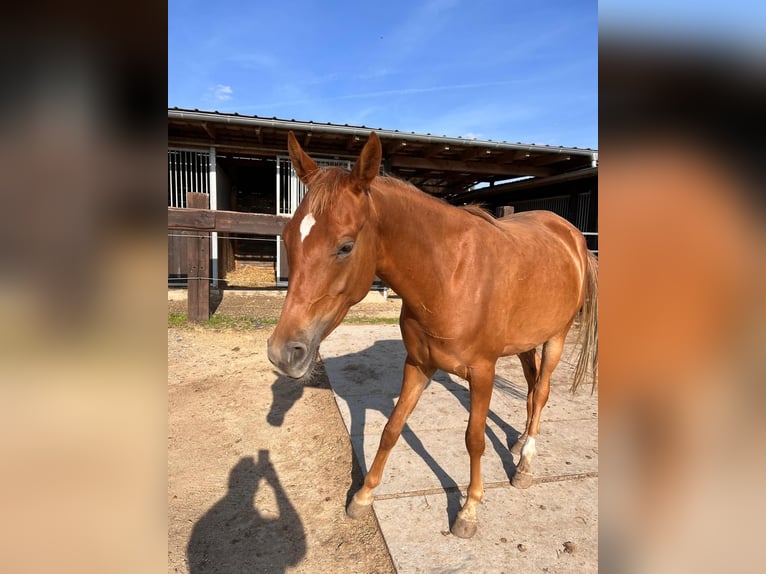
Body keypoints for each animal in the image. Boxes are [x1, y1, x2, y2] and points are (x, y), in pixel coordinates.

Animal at [270, 132, 600, 540]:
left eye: (345, 246)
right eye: (288, 238)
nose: (283, 352)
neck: (448, 277)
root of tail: (572, 236)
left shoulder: (483, 373)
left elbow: (474, 440)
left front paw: (468, 511)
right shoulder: (418, 364)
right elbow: (392, 428)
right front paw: (363, 496)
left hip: (556, 338)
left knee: (541, 392)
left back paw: (525, 463)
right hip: (524, 342)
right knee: (531, 384)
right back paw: (521, 441)